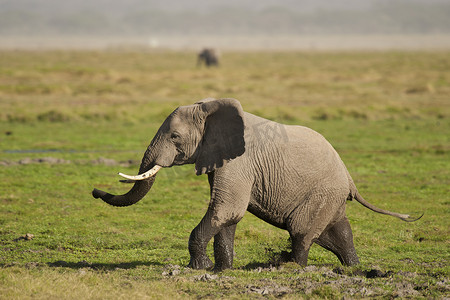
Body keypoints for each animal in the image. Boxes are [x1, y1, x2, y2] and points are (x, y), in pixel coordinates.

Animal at [92, 98, 422, 272]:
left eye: (174, 137)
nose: (95, 191)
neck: (210, 109)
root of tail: (349, 176)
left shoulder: (239, 162)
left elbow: (227, 208)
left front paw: (199, 268)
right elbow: (227, 216)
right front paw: (223, 270)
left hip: (322, 193)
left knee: (301, 233)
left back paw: (292, 268)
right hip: (331, 196)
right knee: (338, 233)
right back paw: (353, 268)